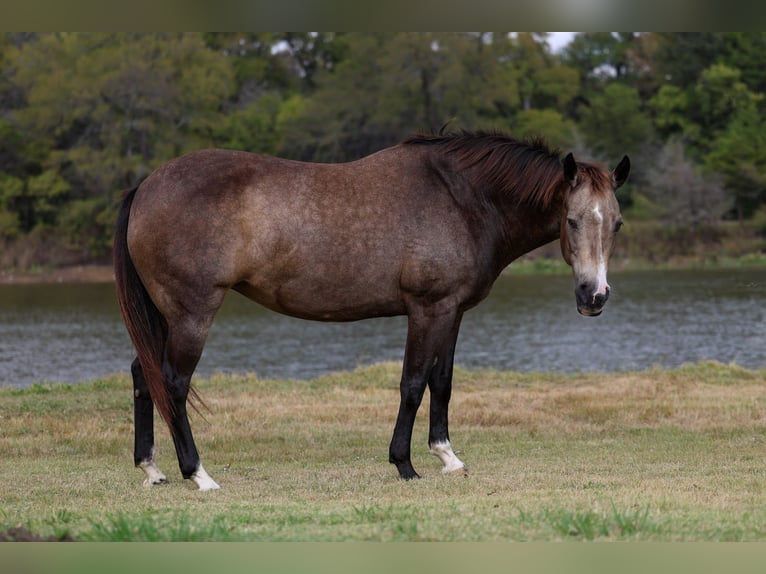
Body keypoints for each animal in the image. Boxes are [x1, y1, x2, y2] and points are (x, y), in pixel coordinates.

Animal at [113, 130, 630, 490]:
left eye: (617, 223)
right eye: (571, 220)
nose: (595, 296)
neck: (462, 199)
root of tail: (146, 186)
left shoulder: (453, 312)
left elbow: (443, 382)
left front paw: (447, 457)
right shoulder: (427, 309)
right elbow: (413, 384)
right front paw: (405, 464)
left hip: (164, 316)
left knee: (143, 374)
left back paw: (152, 469)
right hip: (191, 314)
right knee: (173, 383)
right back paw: (198, 475)